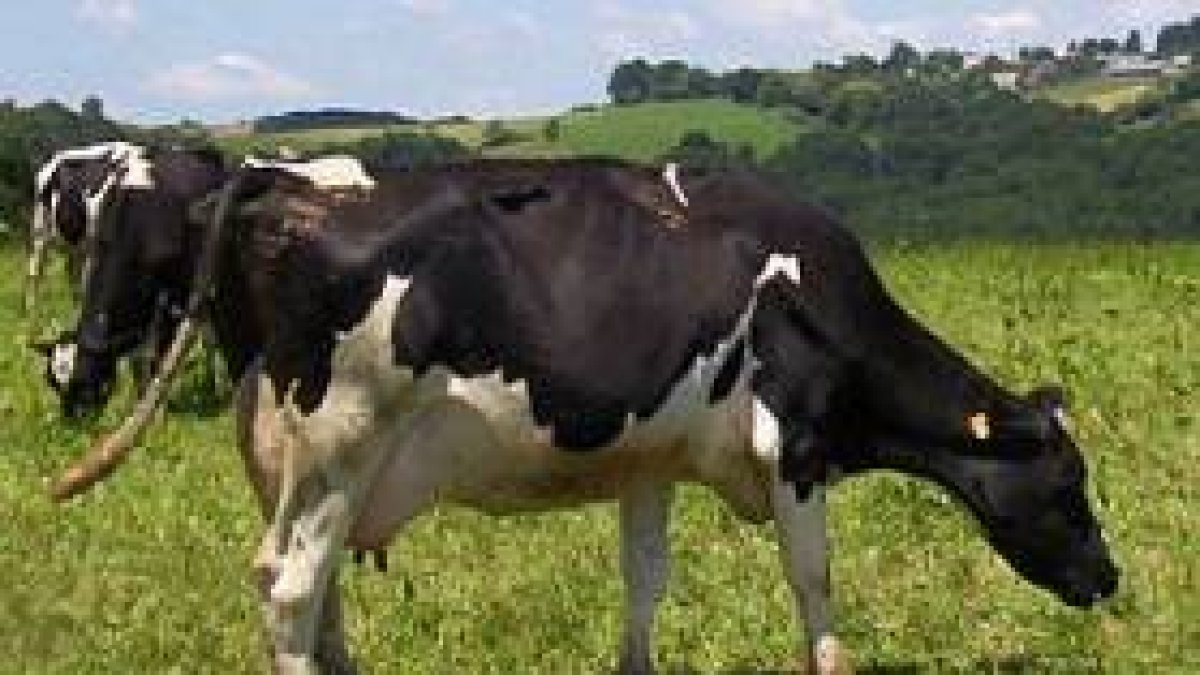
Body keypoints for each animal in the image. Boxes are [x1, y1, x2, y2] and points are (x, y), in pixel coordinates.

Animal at [49, 158, 1119, 675]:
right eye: (1070, 485)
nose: (1109, 578)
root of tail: (285, 182)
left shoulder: (649, 458)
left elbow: (644, 579)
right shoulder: (797, 444)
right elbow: (813, 579)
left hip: (296, 455)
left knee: (313, 590)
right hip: (344, 433)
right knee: (289, 585)